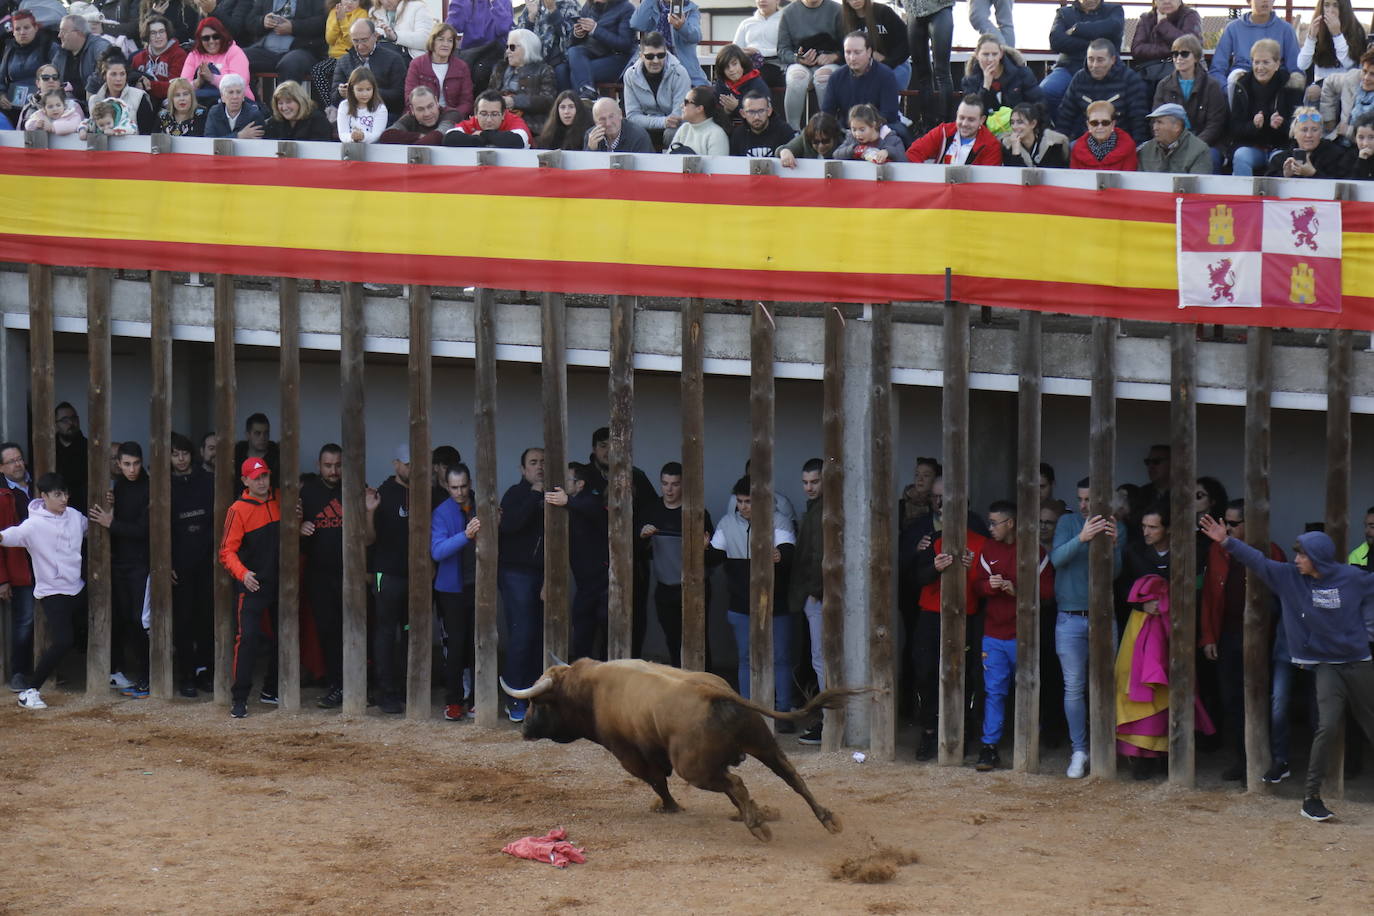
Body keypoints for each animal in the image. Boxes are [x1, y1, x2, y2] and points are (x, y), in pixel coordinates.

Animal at [500, 656, 862, 840]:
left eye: (536, 703)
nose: (525, 729)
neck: (587, 688)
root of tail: (714, 691)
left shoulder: (629, 755)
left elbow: (658, 782)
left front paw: (671, 807)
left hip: (695, 768)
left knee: (736, 783)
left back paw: (758, 827)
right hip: (763, 745)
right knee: (791, 776)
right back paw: (826, 819)